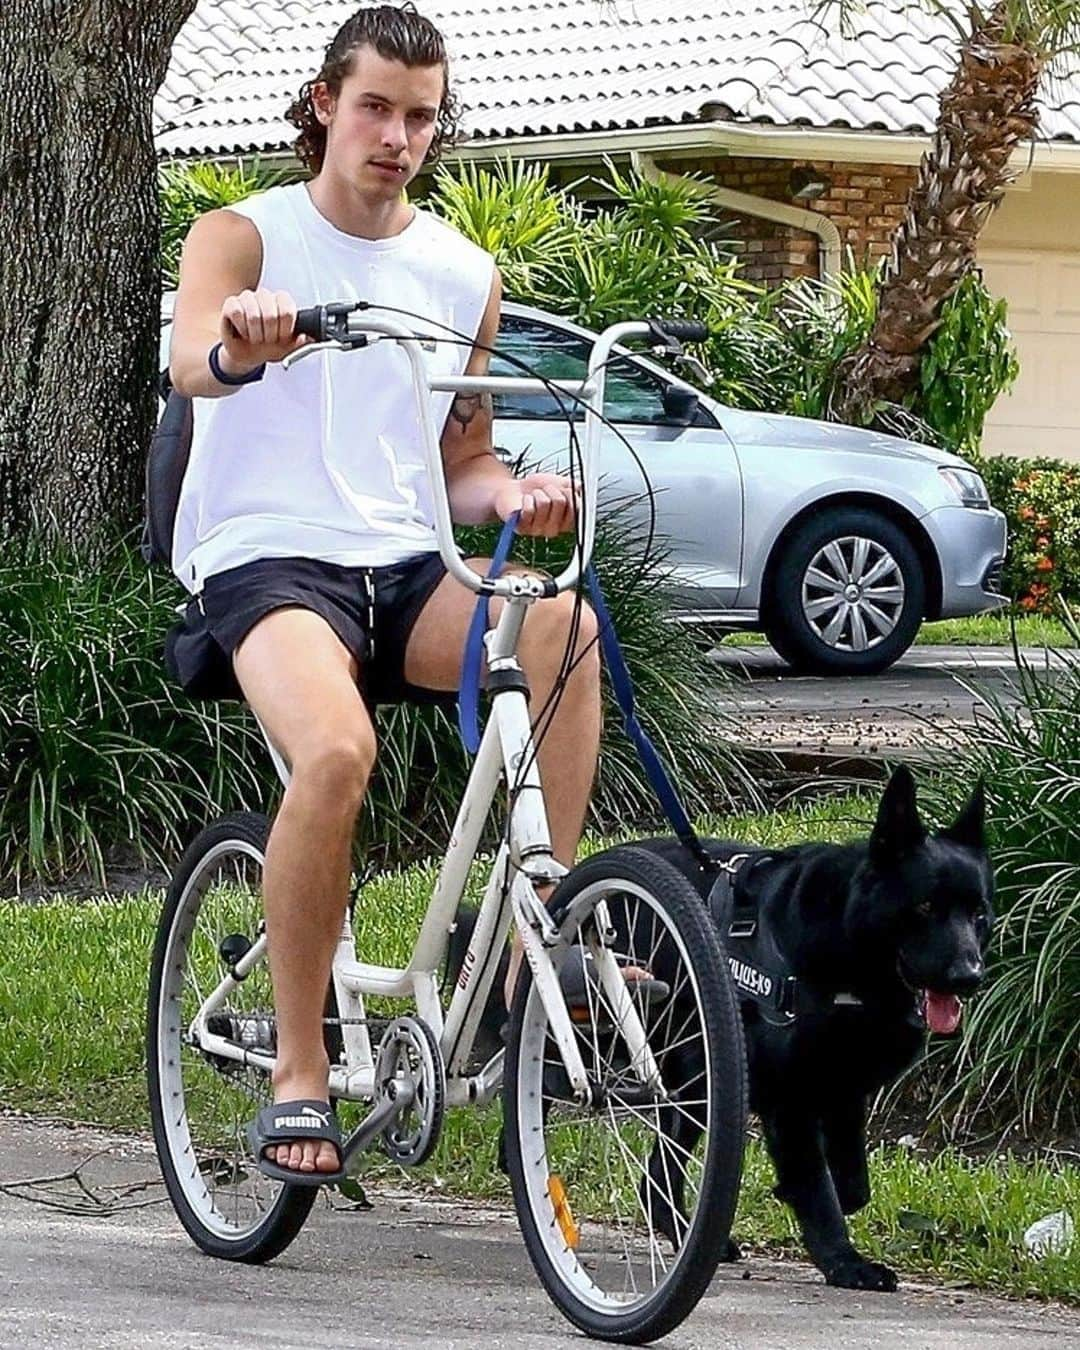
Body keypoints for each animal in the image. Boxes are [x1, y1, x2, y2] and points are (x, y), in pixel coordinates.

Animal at [448, 766, 993, 1290]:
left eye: (979, 913)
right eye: (925, 906)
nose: (969, 977)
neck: (842, 948)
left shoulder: (842, 1090)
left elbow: (850, 1183)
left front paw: (813, 1205)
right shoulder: (791, 1099)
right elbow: (818, 1188)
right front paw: (843, 1260)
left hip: (692, 1083)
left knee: (655, 1174)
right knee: (545, 1074)